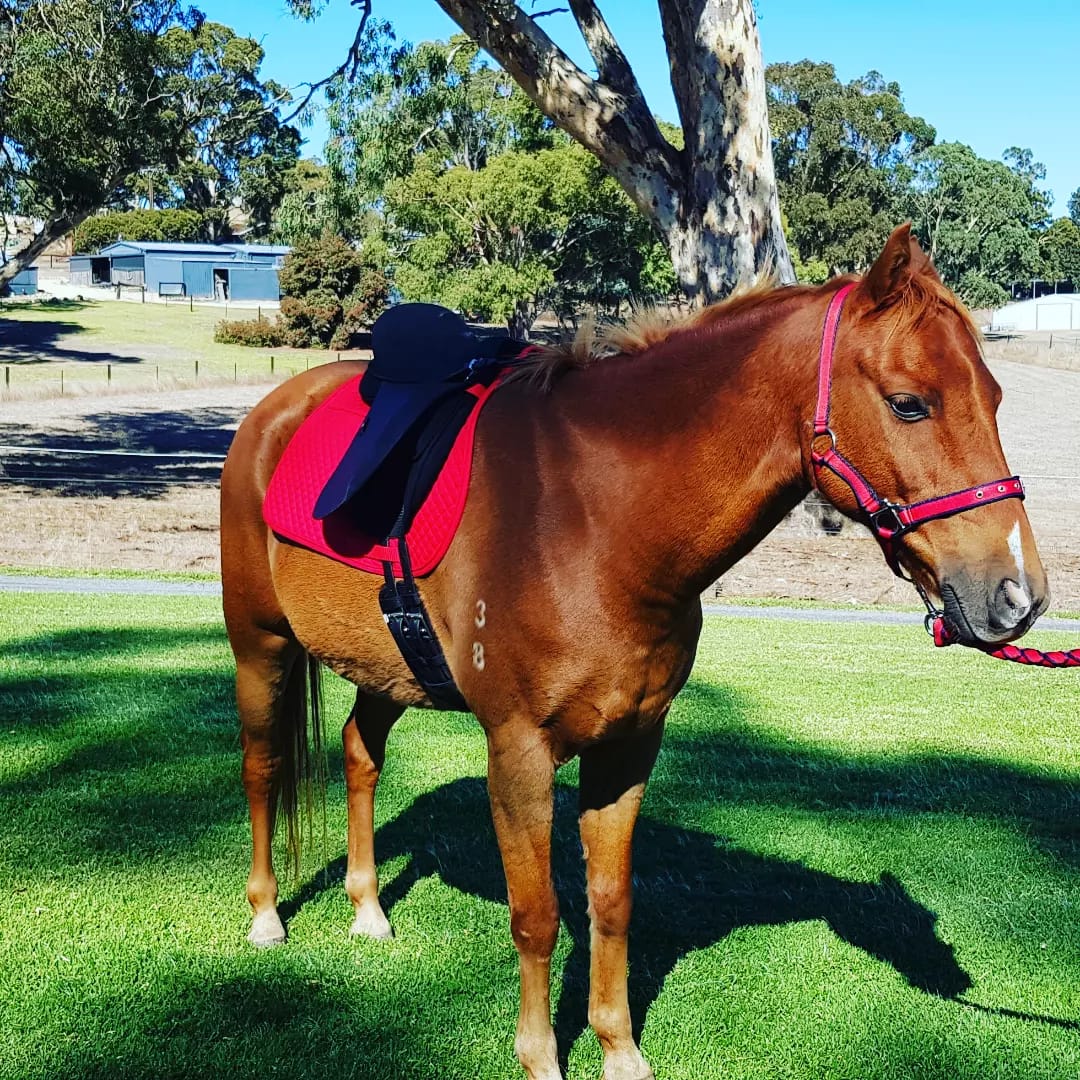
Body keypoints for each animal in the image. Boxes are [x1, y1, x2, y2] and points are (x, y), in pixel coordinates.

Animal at [220, 224, 1049, 1080]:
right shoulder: (518, 754)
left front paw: (618, 1050)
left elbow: (611, 903)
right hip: (260, 646)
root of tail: (273, 413)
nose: (1018, 594)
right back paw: (266, 915)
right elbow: (538, 914)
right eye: (908, 403)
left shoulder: (630, 745)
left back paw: (368, 907)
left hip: (387, 671)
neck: (594, 521)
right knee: (262, 767)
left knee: (359, 753)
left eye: (993, 399)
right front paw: (541, 1057)